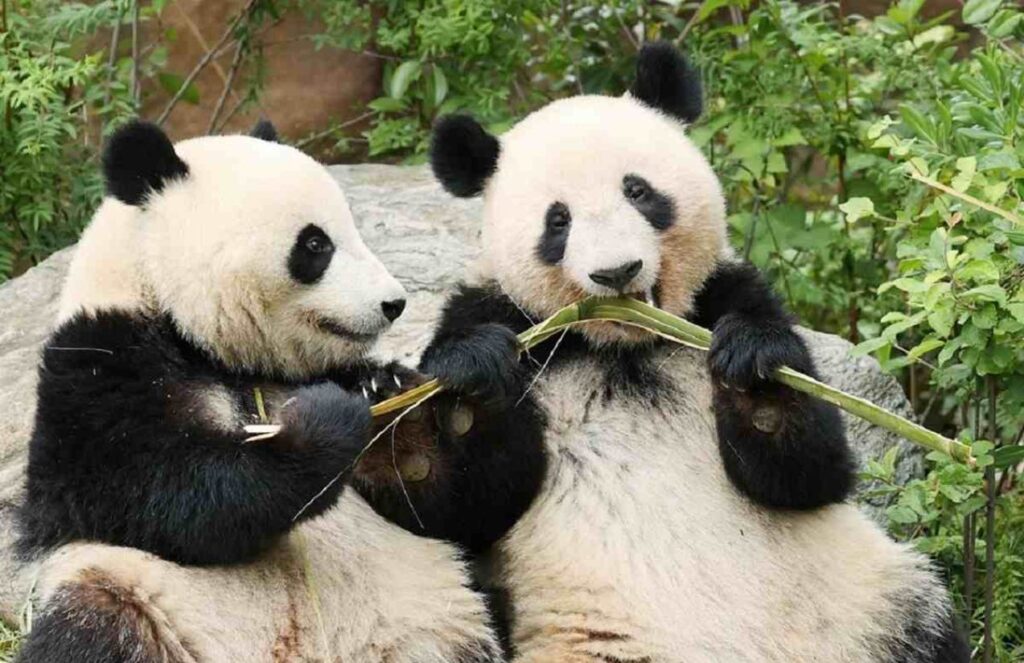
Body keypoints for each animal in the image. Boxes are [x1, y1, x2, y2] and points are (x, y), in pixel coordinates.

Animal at [14, 120, 507, 662]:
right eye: (315, 244)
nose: (393, 303)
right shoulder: (96, 369)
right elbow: (170, 491)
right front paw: (326, 423)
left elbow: (457, 512)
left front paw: (420, 398)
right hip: (142, 601)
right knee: (94, 626)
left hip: (444, 618)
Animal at [423, 42, 970, 662]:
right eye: (557, 221)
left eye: (638, 191)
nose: (617, 271)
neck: (625, 347)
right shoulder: (499, 316)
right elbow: (475, 506)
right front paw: (475, 380)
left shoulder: (730, 295)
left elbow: (809, 474)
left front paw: (754, 370)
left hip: (866, 604)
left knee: (927, 627)